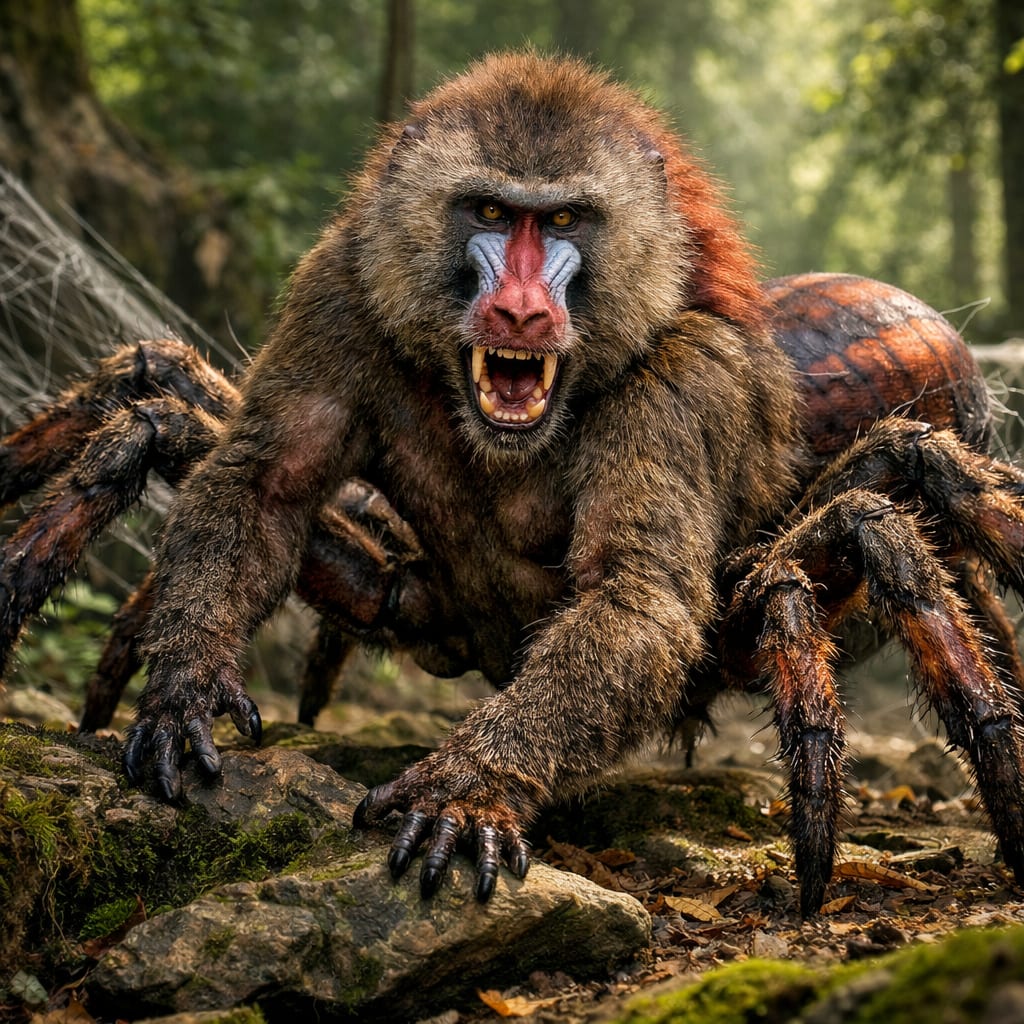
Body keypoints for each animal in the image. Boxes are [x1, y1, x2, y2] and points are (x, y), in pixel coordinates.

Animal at [124, 52, 802, 901]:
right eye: (489, 211)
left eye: (563, 221)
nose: (520, 311)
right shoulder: (338, 294)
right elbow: (261, 483)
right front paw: (184, 682)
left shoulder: (686, 380)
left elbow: (632, 592)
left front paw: (471, 783)